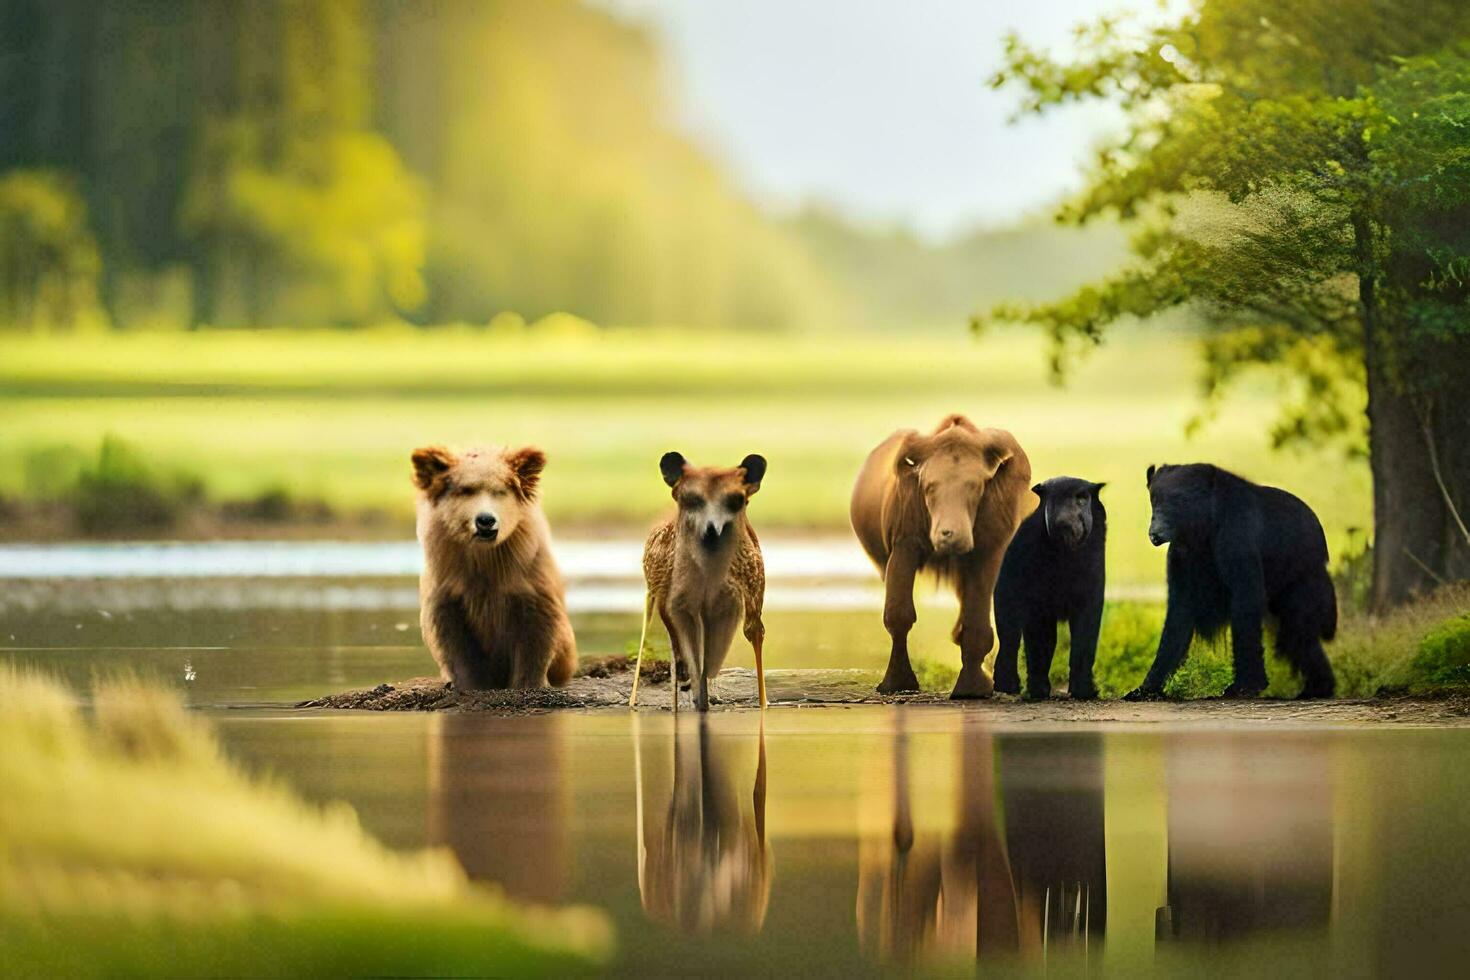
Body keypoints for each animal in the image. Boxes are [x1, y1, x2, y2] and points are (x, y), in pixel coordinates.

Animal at [414, 443, 579, 690]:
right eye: (466, 490)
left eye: (500, 491)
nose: (486, 520)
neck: (485, 557)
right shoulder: (449, 587)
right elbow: (456, 644)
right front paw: (469, 684)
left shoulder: (528, 581)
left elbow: (537, 634)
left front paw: (529, 683)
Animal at [852, 414, 1034, 696]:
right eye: (928, 487)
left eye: (975, 486)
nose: (949, 534)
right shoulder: (904, 539)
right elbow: (898, 614)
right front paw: (897, 683)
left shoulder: (990, 546)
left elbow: (976, 620)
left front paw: (972, 687)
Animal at [993, 476, 1105, 702]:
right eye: (1053, 498)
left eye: (1082, 498)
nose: (1064, 521)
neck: (1064, 555)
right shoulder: (1034, 604)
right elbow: (1035, 645)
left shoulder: (1091, 596)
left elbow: (1083, 642)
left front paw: (1083, 691)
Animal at [1123, 464, 1334, 702]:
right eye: (1153, 500)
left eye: (1176, 500)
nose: (1154, 533)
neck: (1202, 532)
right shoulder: (1182, 559)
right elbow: (1178, 616)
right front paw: (1144, 688)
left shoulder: (1237, 538)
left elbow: (1246, 603)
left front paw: (1243, 685)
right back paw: (1315, 688)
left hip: (1299, 577)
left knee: (1298, 629)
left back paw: (1316, 687)